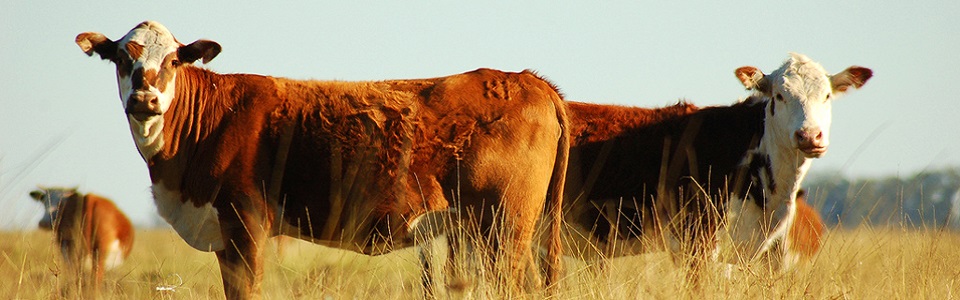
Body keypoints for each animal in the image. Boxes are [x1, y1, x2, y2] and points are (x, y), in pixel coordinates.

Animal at [77, 20, 568, 298]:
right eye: (120, 58)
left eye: (175, 61)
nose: (145, 99)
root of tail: (526, 79)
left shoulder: (245, 226)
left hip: (505, 228)